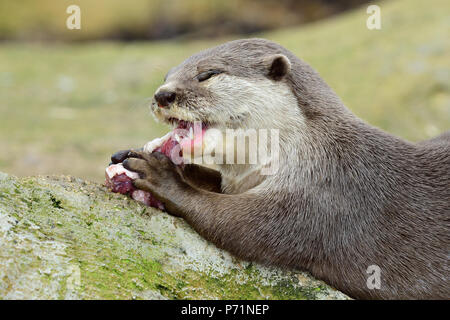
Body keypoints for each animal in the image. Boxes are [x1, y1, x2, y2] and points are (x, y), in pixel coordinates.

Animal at [110, 38, 450, 300]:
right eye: (166, 76)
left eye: (208, 73)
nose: (162, 95)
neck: (309, 150)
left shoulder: (324, 195)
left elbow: (241, 226)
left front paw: (162, 175)